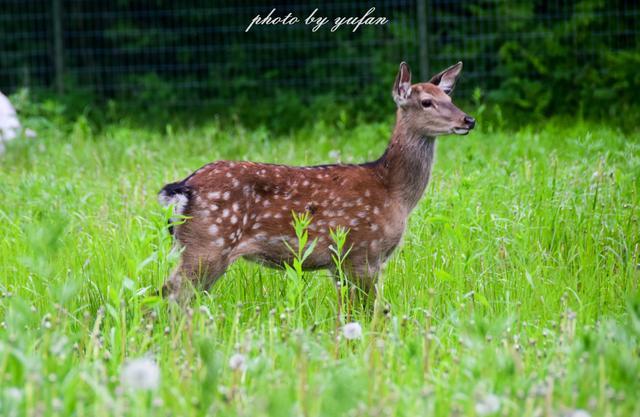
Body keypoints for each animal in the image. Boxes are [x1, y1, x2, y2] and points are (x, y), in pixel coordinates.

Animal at [160, 61, 476, 300]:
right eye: (426, 102)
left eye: (450, 98)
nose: (468, 120)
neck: (394, 192)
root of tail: (183, 188)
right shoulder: (361, 252)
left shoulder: (341, 264)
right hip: (209, 242)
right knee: (171, 292)